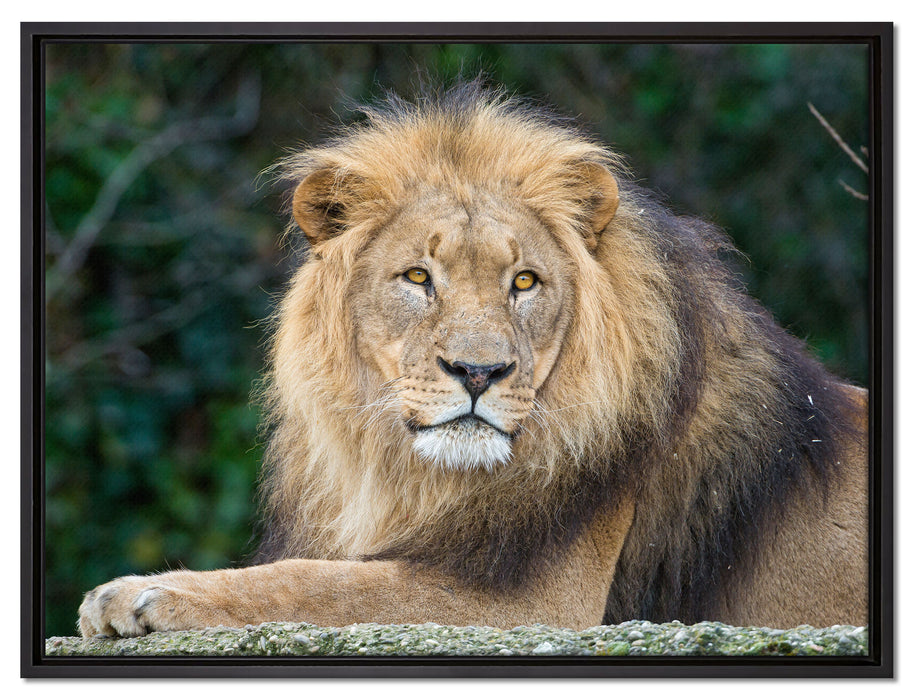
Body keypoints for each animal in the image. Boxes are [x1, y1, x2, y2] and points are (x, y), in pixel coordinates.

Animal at [77, 82, 868, 638]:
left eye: (525, 283)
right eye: (417, 278)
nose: (479, 374)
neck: (414, 476)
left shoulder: (532, 603)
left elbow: (319, 583)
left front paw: (143, 591)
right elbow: (318, 573)